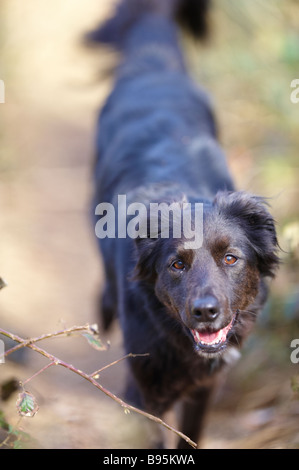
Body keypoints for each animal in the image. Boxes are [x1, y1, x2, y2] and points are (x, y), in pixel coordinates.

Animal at [90, 0, 280, 448]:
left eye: (231, 259)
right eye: (176, 265)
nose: (205, 312)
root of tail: (153, 64)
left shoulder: (206, 388)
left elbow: (191, 432)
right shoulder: (145, 393)